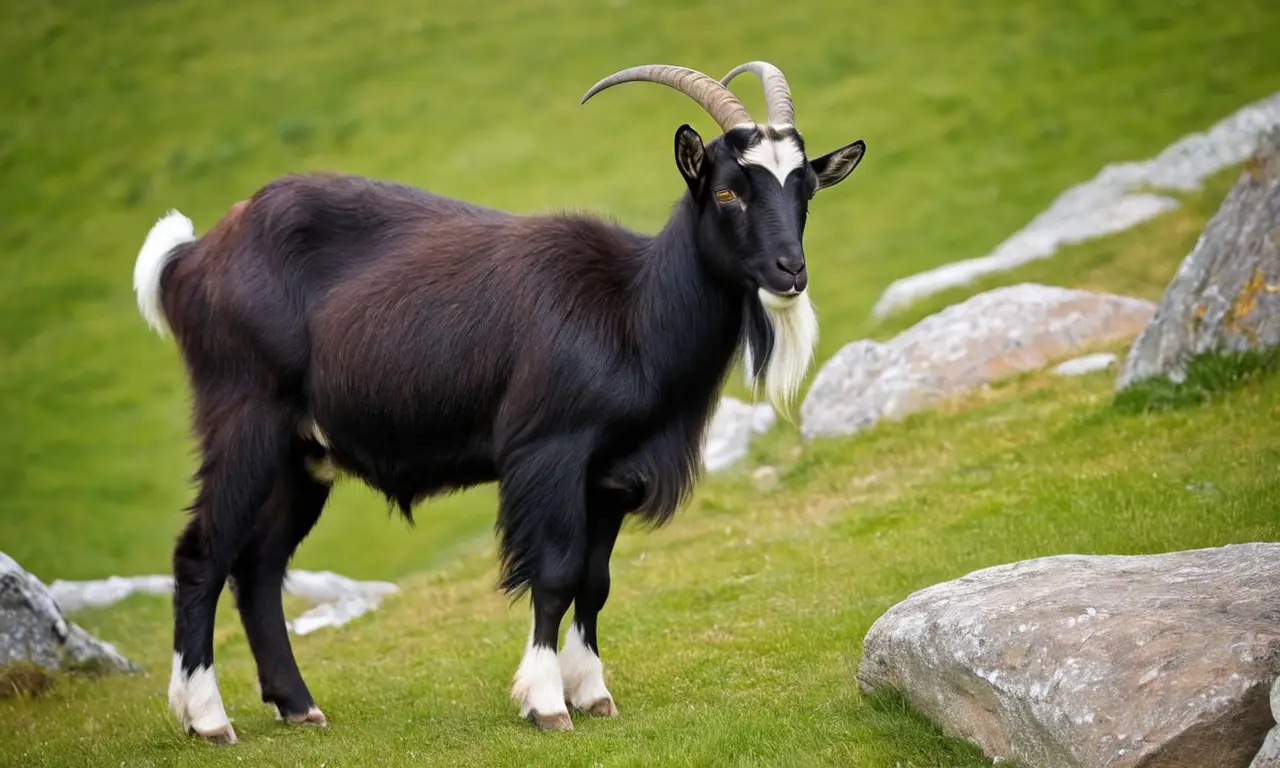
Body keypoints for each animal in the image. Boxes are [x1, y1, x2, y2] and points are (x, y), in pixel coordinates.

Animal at [133, 61, 865, 743]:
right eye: (727, 190)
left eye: (804, 190)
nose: (790, 271)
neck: (631, 309)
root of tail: (191, 260)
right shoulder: (549, 453)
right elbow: (556, 574)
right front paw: (545, 702)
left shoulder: (611, 473)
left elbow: (596, 581)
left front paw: (592, 693)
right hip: (246, 419)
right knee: (201, 555)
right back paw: (206, 718)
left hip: (303, 455)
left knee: (258, 568)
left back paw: (298, 705)